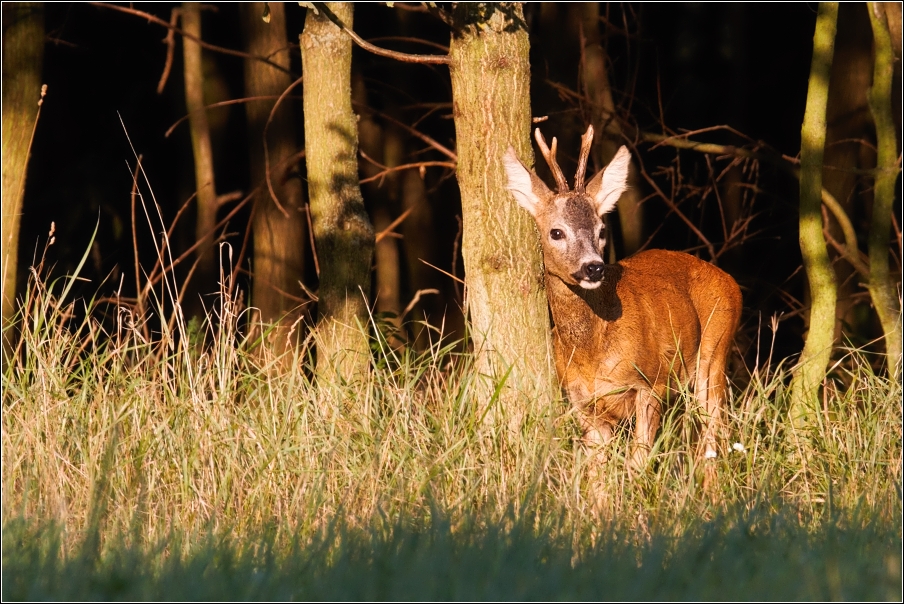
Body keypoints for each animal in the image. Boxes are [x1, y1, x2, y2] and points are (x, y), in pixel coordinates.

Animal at [502, 126, 740, 472]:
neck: (592, 351)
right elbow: (596, 473)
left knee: (713, 436)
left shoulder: (650, 382)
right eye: (556, 232)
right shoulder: (583, 402)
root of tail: (730, 280)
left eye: (602, 230)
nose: (593, 267)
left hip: (715, 352)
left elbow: (637, 461)